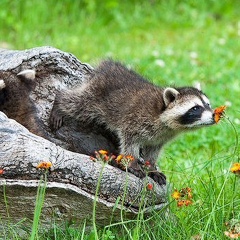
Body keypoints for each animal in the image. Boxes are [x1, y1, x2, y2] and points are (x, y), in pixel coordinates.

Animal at [49, 60, 215, 186]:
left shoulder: (160, 137)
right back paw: (60, 102)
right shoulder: (134, 121)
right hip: (94, 97)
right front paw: (133, 163)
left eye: (208, 105)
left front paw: (151, 167)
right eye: (196, 108)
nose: (214, 116)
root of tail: (106, 67)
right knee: (76, 103)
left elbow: (153, 151)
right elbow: (129, 144)